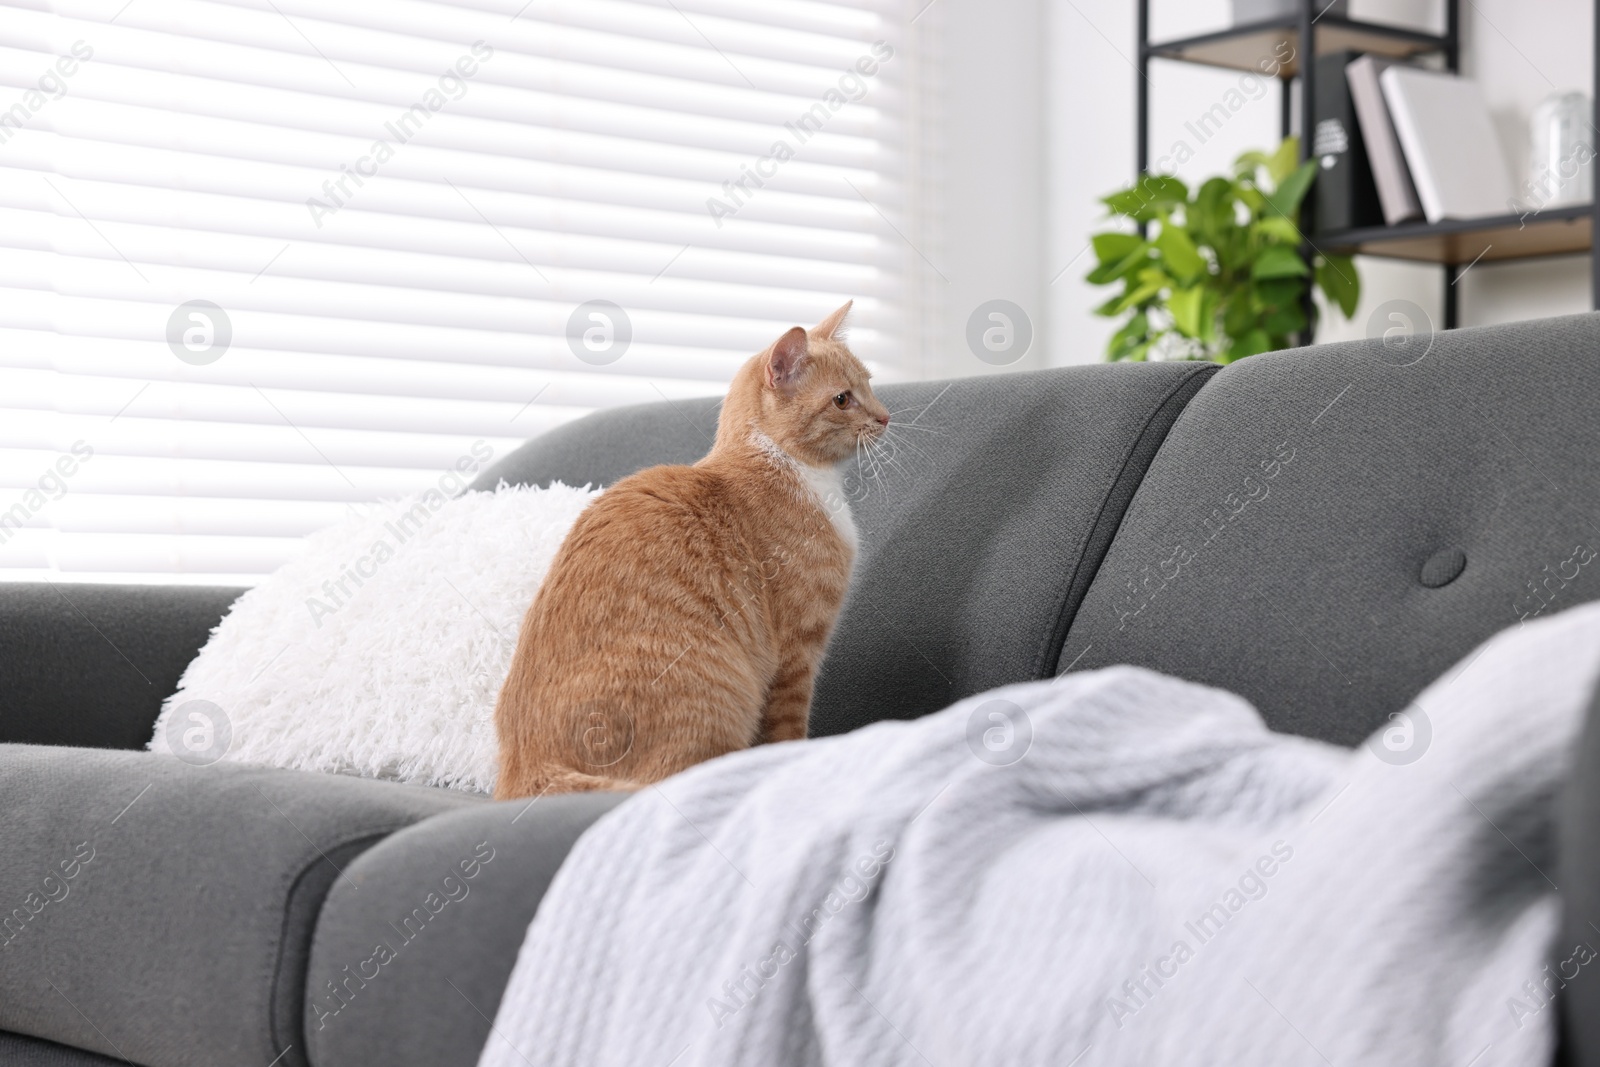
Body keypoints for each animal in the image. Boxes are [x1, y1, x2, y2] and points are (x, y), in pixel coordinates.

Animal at [492, 302, 889, 799]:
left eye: (870, 384)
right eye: (842, 399)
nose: (886, 417)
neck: (791, 470)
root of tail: (524, 768)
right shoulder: (796, 654)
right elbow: (787, 734)